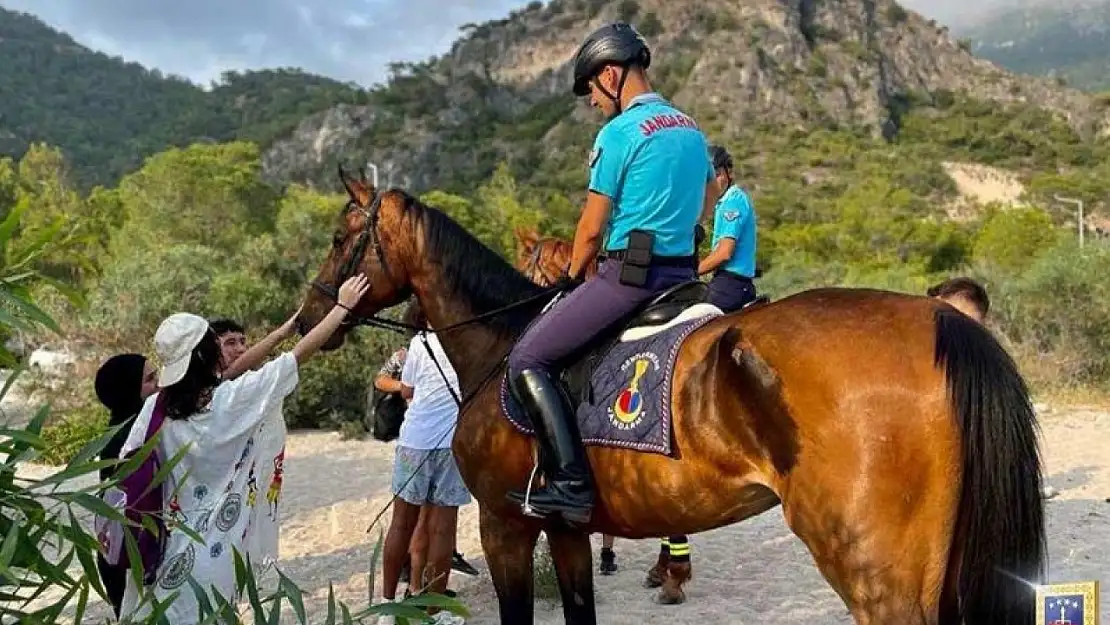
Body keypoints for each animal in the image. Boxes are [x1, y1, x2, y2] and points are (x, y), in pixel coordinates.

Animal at [295, 169, 1038, 625]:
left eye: (338, 238)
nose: (308, 319)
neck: (503, 340)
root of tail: (939, 319)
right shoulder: (566, 531)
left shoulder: (506, 527)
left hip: (874, 570)